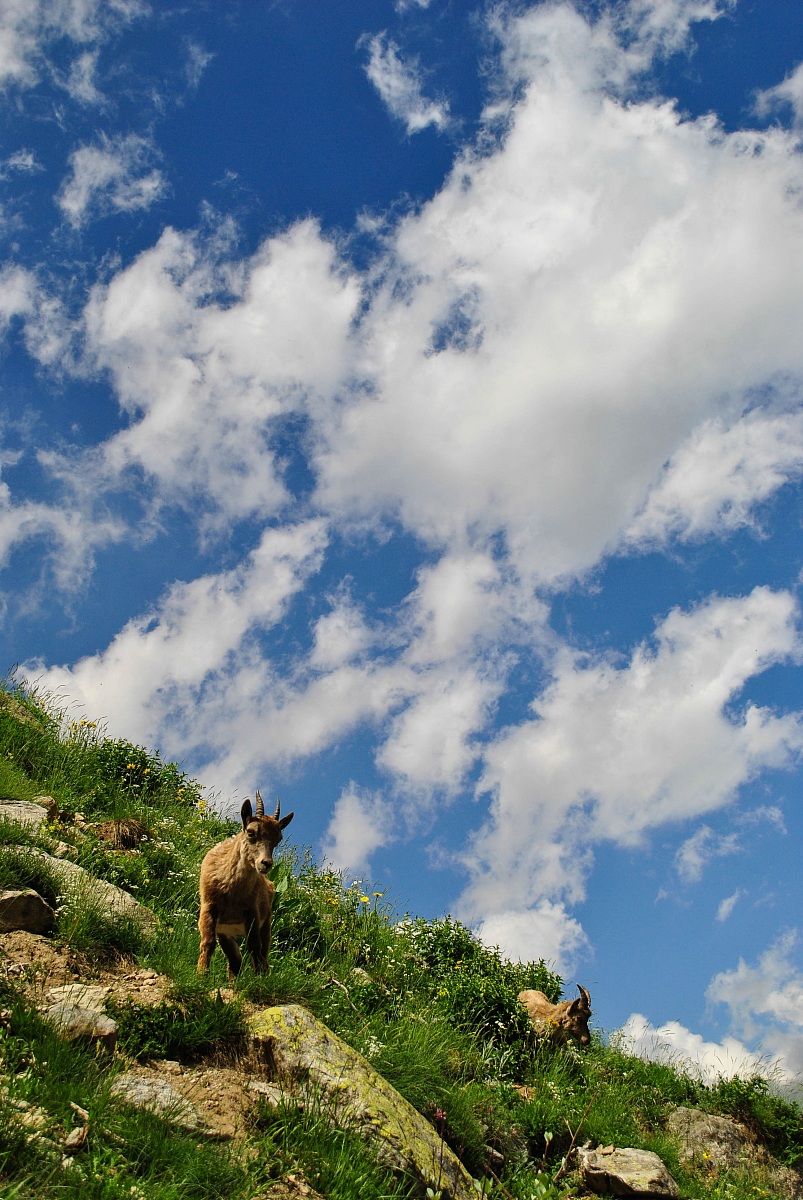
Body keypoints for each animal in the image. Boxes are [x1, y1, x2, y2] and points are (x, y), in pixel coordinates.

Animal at [197, 791, 294, 978]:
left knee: (261, 955)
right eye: (251, 832)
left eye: (278, 839)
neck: (231, 890)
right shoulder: (209, 907)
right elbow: (208, 942)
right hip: (225, 932)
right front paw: (201, 975)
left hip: (266, 923)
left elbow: (255, 949)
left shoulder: (252, 914)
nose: (266, 864)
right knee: (235, 961)